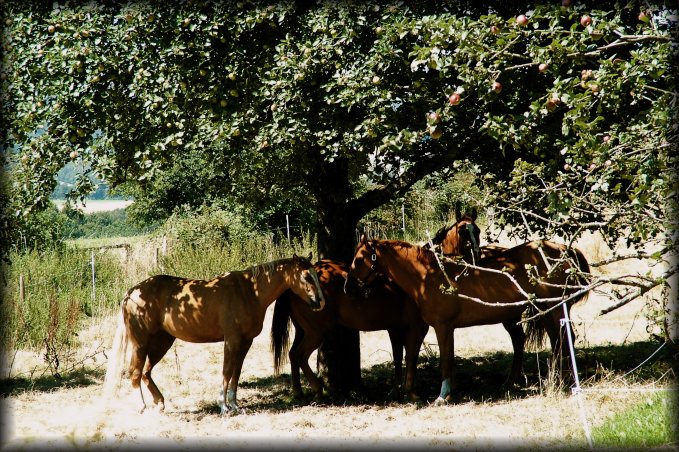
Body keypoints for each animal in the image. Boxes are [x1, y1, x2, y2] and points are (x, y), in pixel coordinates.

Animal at [103, 252, 326, 414]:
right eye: (307, 276)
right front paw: (223, 406)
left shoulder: (245, 342)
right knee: (135, 372)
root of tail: (131, 293)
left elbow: (236, 372)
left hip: (162, 342)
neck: (249, 292)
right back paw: (141, 406)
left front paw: (235, 405)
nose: (320, 302)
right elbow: (226, 371)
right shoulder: (232, 340)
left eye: (316, 275)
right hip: (140, 343)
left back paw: (160, 403)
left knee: (146, 372)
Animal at [272, 260, 428, 400]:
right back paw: (317, 389)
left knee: (292, 354)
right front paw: (410, 392)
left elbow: (398, 357)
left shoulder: (395, 329)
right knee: (299, 355)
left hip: (302, 331)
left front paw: (397, 390)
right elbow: (411, 356)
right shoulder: (417, 327)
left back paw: (298, 393)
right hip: (315, 333)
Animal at [346, 238, 588, 404]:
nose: (348, 289)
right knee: (554, 341)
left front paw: (442, 397)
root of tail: (564, 250)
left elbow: (444, 361)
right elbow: (444, 359)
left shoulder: (442, 326)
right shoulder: (444, 328)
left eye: (359, 259)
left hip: (555, 307)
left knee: (564, 338)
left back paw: (564, 381)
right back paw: (544, 380)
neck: (428, 276)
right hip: (545, 309)